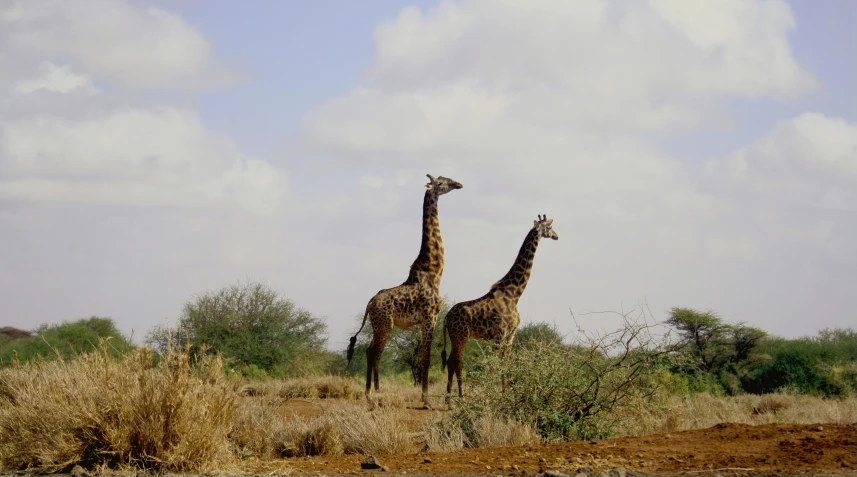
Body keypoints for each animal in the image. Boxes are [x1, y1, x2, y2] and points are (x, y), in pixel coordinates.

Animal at [344, 174, 462, 410]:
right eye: (441, 182)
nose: (458, 184)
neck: (434, 272)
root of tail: (370, 303)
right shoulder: (429, 317)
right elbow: (426, 358)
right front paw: (426, 401)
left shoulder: (428, 320)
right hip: (384, 325)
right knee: (374, 353)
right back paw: (373, 394)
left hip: (381, 326)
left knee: (371, 351)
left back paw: (373, 393)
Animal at [438, 215, 560, 402]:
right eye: (550, 226)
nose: (556, 236)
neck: (515, 294)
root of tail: (445, 318)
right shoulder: (499, 335)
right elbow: (493, 365)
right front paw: (490, 397)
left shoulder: (510, 335)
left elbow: (505, 364)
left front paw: (506, 395)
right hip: (461, 336)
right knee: (457, 362)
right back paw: (458, 397)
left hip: (455, 336)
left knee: (452, 362)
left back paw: (450, 398)